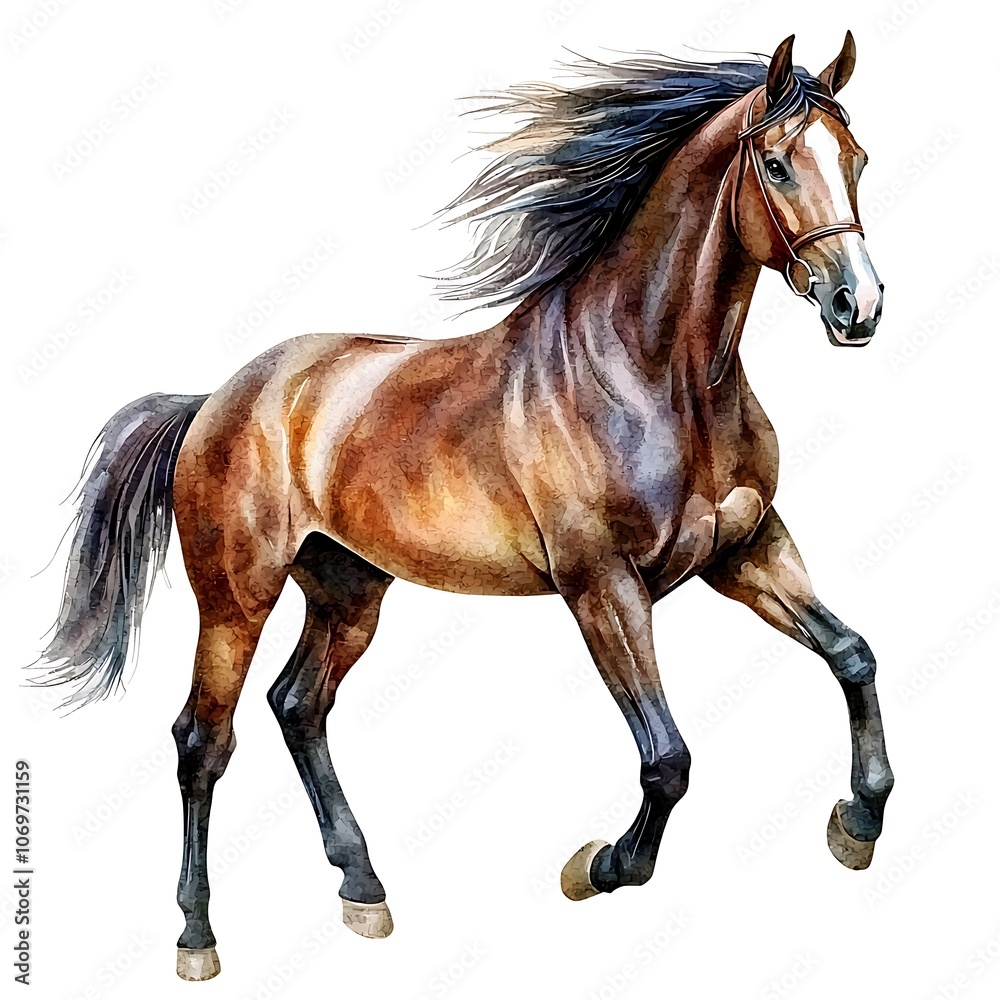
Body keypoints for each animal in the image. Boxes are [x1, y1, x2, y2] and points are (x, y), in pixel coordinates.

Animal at [33, 33, 893, 981]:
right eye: (776, 164)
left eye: (857, 159)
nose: (859, 305)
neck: (651, 373)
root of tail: (217, 400)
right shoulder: (603, 586)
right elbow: (668, 759)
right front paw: (596, 868)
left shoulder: (746, 551)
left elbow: (853, 656)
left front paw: (856, 825)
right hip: (235, 599)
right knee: (202, 742)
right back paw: (198, 937)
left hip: (349, 590)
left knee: (298, 705)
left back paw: (363, 889)